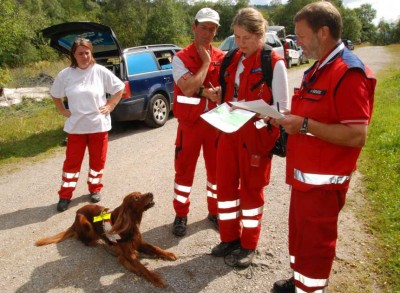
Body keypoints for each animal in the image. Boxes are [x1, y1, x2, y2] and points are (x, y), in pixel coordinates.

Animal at [35, 190, 177, 286]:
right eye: (136, 198)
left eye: (141, 193)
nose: (151, 193)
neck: (130, 223)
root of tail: (74, 220)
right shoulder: (128, 252)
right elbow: (142, 267)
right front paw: (156, 278)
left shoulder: (138, 242)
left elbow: (155, 248)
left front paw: (168, 254)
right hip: (84, 221)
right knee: (83, 240)